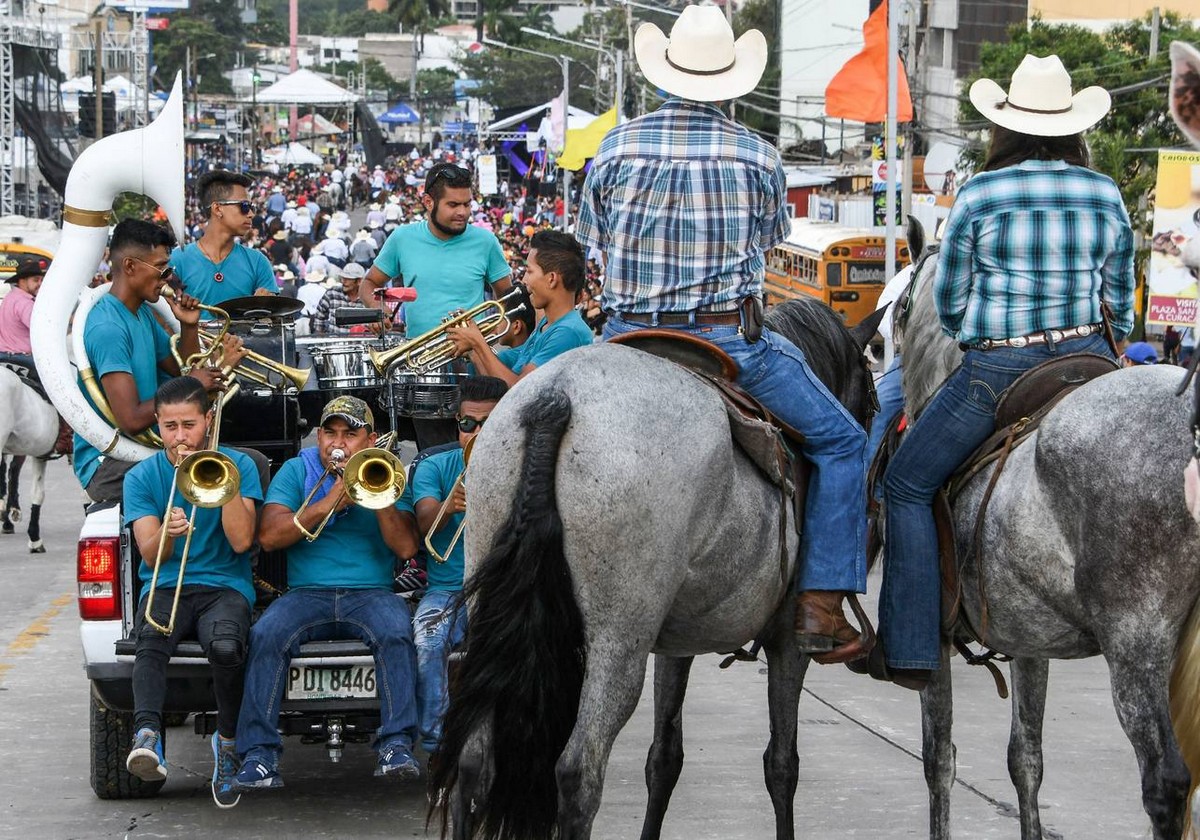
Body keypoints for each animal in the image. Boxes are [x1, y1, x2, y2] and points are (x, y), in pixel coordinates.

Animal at [429, 298, 883, 840]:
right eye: (873, 406)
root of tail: (558, 399)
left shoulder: (676, 644)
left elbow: (664, 757)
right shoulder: (789, 643)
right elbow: (781, 764)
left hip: (494, 612)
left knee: (474, 763)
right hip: (618, 642)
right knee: (578, 772)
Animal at [892, 250, 1200, 840]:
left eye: (895, 309)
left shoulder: (932, 641)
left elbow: (937, 759)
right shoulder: (1029, 642)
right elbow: (1025, 759)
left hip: (1135, 641)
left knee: (1166, 784)